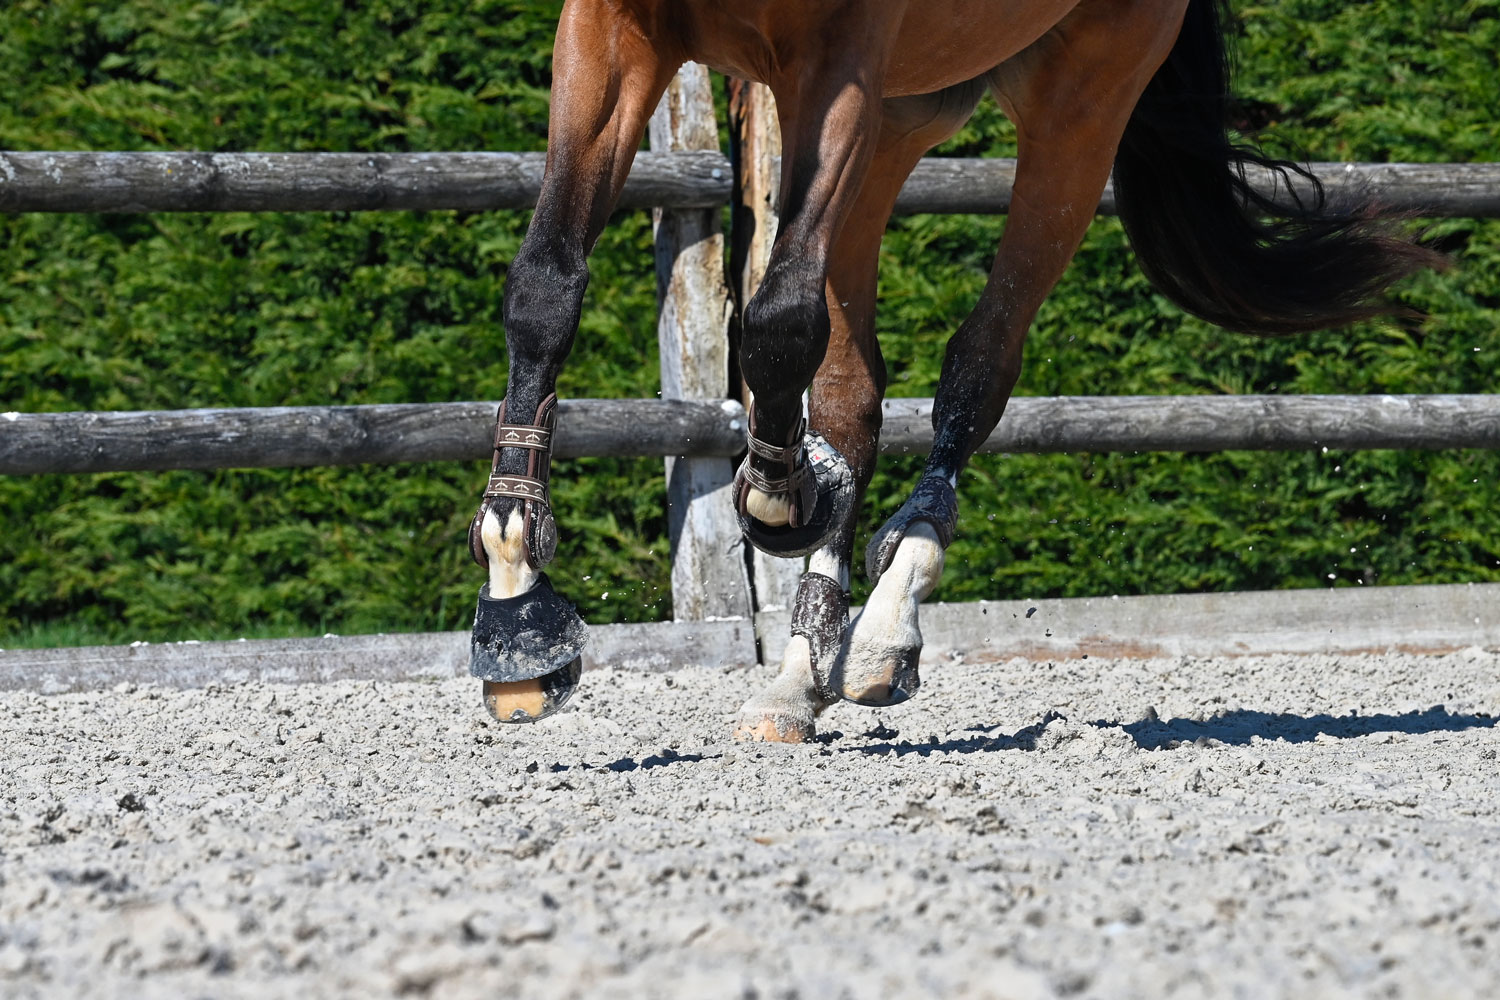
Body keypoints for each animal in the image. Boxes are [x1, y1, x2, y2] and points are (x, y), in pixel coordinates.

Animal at [462, 0, 1434, 740]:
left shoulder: (837, 59)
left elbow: (779, 321)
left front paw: (781, 499)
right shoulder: (614, 26)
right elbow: (546, 284)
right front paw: (515, 594)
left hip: (1077, 100)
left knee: (979, 362)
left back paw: (890, 617)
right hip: (898, 111)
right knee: (854, 388)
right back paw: (800, 674)